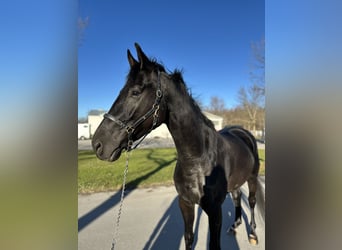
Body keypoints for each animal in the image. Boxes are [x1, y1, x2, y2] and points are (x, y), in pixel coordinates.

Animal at [92, 44, 260, 249]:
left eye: (135, 92)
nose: (98, 144)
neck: (198, 159)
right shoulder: (185, 203)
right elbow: (188, 238)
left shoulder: (214, 211)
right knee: (236, 197)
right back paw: (235, 225)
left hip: (252, 178)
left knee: (251, 201)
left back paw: (253, 234)